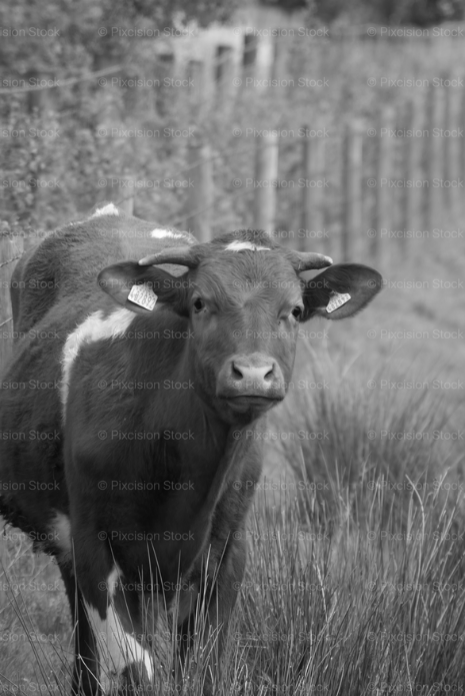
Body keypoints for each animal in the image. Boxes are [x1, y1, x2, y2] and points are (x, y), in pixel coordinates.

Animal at [0, 204, 382, 695]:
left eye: (295, 310)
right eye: (200, 303)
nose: (253, 373)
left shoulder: (227, 551)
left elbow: (202, 668)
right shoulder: (95, 544)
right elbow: (136, 669)